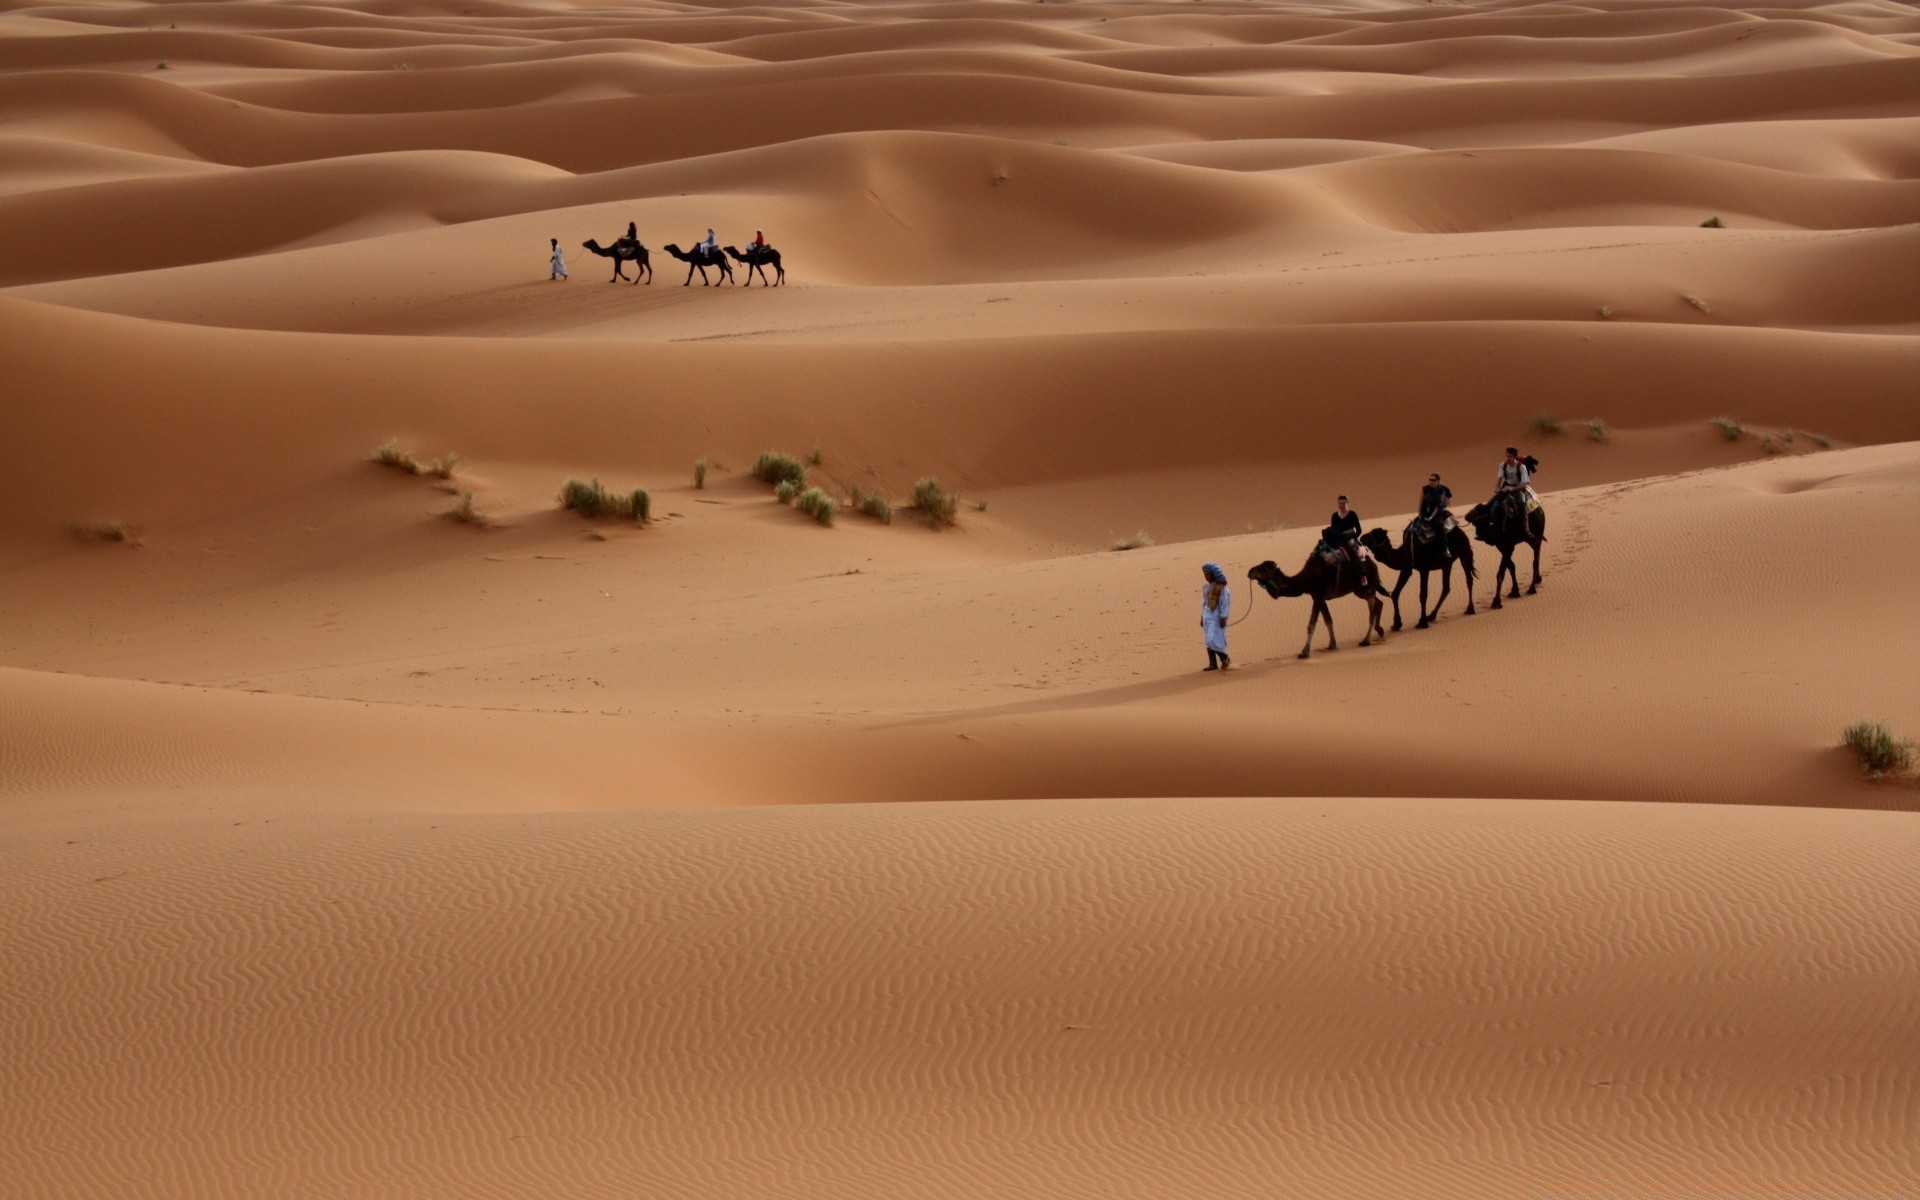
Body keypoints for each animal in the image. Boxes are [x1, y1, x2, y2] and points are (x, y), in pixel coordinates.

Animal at [1251, 549, 1390, 660]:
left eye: (1263, 568)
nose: (1249, 572)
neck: (1305, 580)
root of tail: (1373, 564)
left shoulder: (1317, 596)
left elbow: (1311, 625)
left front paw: (1304, 653)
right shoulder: (1320, 598)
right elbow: (1328, 620)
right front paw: (1332, 644)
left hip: (1366, 586)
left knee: (1372, 612)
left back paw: (1366, 641)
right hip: (1360, 590)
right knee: (1379, 603)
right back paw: (1380, 630)